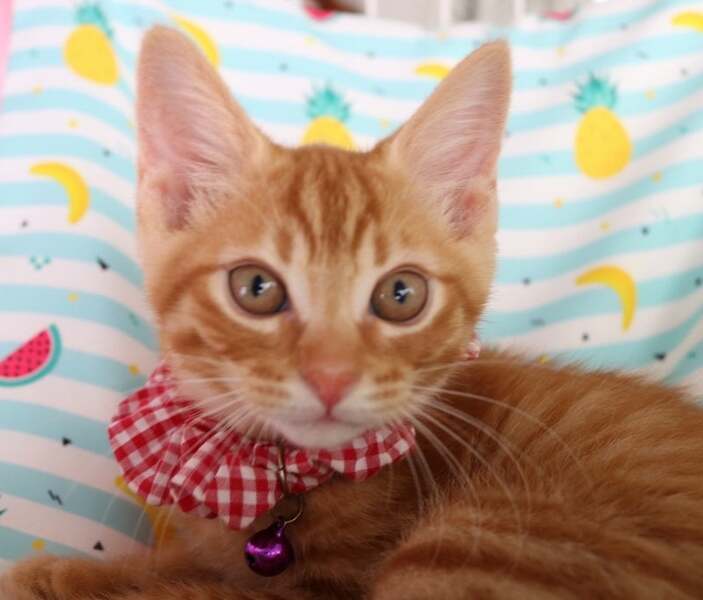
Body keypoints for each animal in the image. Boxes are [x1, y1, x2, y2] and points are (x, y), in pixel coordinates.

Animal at [3, 25, 703, 600]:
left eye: (402, 295)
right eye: (256, 287)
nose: (332, 377)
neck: (279, 479)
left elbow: (191, 590)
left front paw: (55, 577)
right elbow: (184, 567)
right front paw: (72, 571)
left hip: (482, 543)